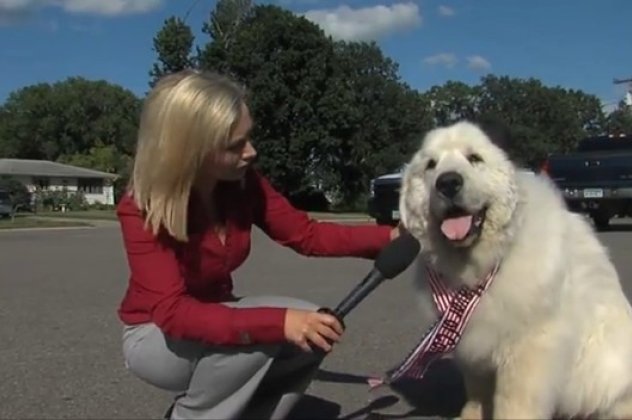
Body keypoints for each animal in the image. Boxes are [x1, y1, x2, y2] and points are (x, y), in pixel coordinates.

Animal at [398, 120, 632, 418]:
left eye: (475, 158)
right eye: (431, 165)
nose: (448, 182)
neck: (488, 261)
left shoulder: (528, 350)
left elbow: (514, 402)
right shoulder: (475, 342)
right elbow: (477, 391)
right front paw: (471, 415)